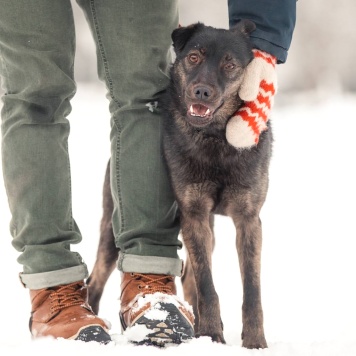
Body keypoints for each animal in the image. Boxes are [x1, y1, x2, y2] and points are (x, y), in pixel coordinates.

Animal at [87, 20, 272, 350]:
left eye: (230, 65)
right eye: (194, 57)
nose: (202, 91)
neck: (214, 139)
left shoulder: (248, 220)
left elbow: (251, 289)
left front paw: (254, 340)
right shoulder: (193, 215)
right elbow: (207, 286)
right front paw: (211, 334)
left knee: (189, 278)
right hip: (113, 231)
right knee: (95, 279)